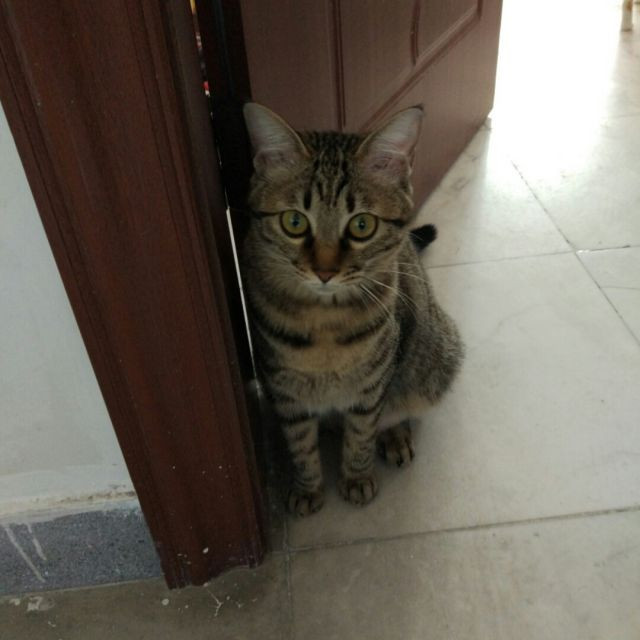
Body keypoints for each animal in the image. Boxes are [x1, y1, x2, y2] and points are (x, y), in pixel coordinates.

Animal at [241, 103, 463, 516]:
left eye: (362, 225)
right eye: (294, 221)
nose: (325, 271)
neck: (325, 323)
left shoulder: (371, 387)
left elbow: (361, 434)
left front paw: (357, 478)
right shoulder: (285, 391)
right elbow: (300, 444)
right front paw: (308, 488)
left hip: (434, 362)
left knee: (398, 409)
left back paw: (395, 437)